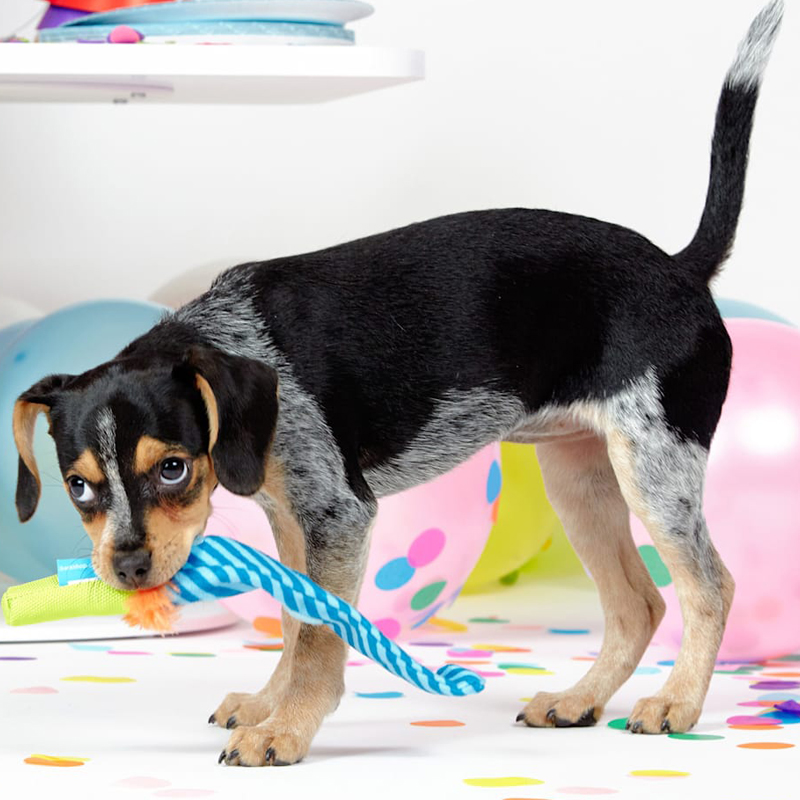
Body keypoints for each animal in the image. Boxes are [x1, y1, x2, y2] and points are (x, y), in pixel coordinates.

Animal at [12, 1, 783, 767]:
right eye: (78, 486)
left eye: (172, 468)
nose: (127, 568)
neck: (229, 344)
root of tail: (682, 268)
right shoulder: (295, 518)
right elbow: (293, 619)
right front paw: (268, 705)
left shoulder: (338, 514)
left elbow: (318, 636)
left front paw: (286, 731)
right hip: (581, 479)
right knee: (638, 604)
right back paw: (578, 700)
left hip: (655, 471)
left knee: (710, 586)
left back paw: (677, 703)